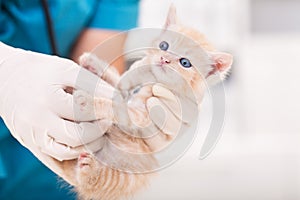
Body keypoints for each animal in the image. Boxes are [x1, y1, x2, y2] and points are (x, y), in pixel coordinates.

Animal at [58, 4, 232, 200]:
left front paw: (89, 101)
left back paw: (88, 168)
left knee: (94, 183)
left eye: (185, 63)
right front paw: (95, 70)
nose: (164, 59)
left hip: (128, 176)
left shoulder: (140, 120)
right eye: (164, 45)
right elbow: (118, 88)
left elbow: (117, 107)